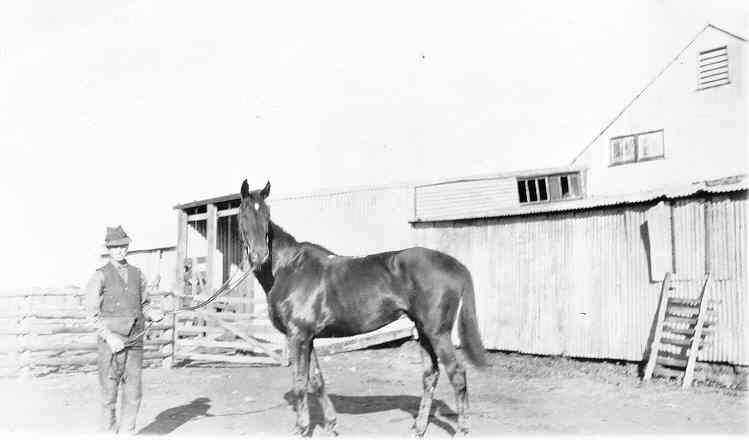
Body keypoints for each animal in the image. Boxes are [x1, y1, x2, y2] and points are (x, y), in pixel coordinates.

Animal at [238, 179, 487, 436]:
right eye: (243, 214)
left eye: (266, 214)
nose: (260, 255)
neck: (290, 268)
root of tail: (455, 264)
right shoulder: (308, 337)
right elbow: (316, 380)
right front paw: (331, 424)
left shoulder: (298, 335)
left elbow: (299, 382)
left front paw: (302, 428)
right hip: (424, 331)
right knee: (430, 375)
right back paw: (418, 428)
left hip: (438, 333)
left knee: (457, 373)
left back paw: (462, 429)